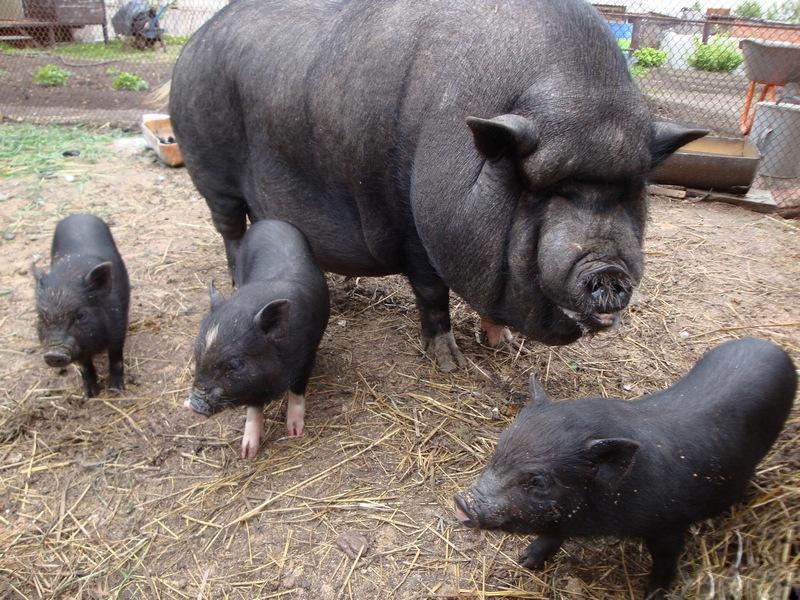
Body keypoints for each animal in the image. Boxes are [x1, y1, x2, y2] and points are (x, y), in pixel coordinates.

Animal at [32, 214, 130, 397]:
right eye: (41, 317)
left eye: (80, 315)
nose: (53, 353)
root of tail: (79, 214)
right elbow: (85, 366)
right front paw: (90, 395)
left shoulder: (118, 327)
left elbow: (116, 358)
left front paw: (116, 390)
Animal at [168, 0, 707, 371]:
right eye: (541, 188)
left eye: (632, 190)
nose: (609, 270)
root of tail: (195, 40)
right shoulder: (410, 225)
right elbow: (432, 293)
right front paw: (450, 363)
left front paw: (502, 344)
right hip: (210, 171)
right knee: (230, 229)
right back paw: (236, 281)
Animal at [184, 220, 330, 458]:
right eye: (197, 356)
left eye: (234, 364)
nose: (193, 406)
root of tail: (268, 221)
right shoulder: (252, 384)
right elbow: (254, 409)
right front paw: (247, 453)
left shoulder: (306, 357)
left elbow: (297, 392)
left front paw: (295, 432)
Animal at [454, 338, 796, 599]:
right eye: (498, 450)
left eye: (538, 481)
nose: (461, 502)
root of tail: (771, 346)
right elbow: (551, 534)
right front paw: (524, 561)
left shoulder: (670, 525)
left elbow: (665, 561)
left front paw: (653, 594)